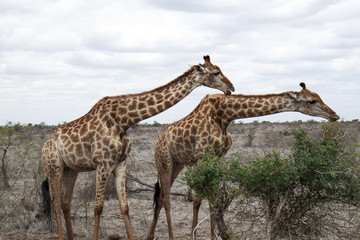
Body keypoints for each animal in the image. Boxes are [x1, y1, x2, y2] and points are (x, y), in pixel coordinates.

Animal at [42, 55, 235, 239]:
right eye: (216, 72)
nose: (231, 87)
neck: (123, 120)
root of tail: (45, 145)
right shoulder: (103, 163)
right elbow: (98, 206)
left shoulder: (120, 163)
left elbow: (124, 206)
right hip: (54, 167)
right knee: (56, 203)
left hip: (71, 169)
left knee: (66, 203)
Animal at [146, 82, 338, 240]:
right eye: (312, 101)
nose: (334, 115)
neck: (224, 116)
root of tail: (157, 141)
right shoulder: (202, 156)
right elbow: (197, 200)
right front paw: (194, 236)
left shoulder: (218, 157)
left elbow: (213, 200)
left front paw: (214, 237)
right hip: (164, 161)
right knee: (166, 198)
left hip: (177, 164)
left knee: (161, 196)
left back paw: (150, 236)